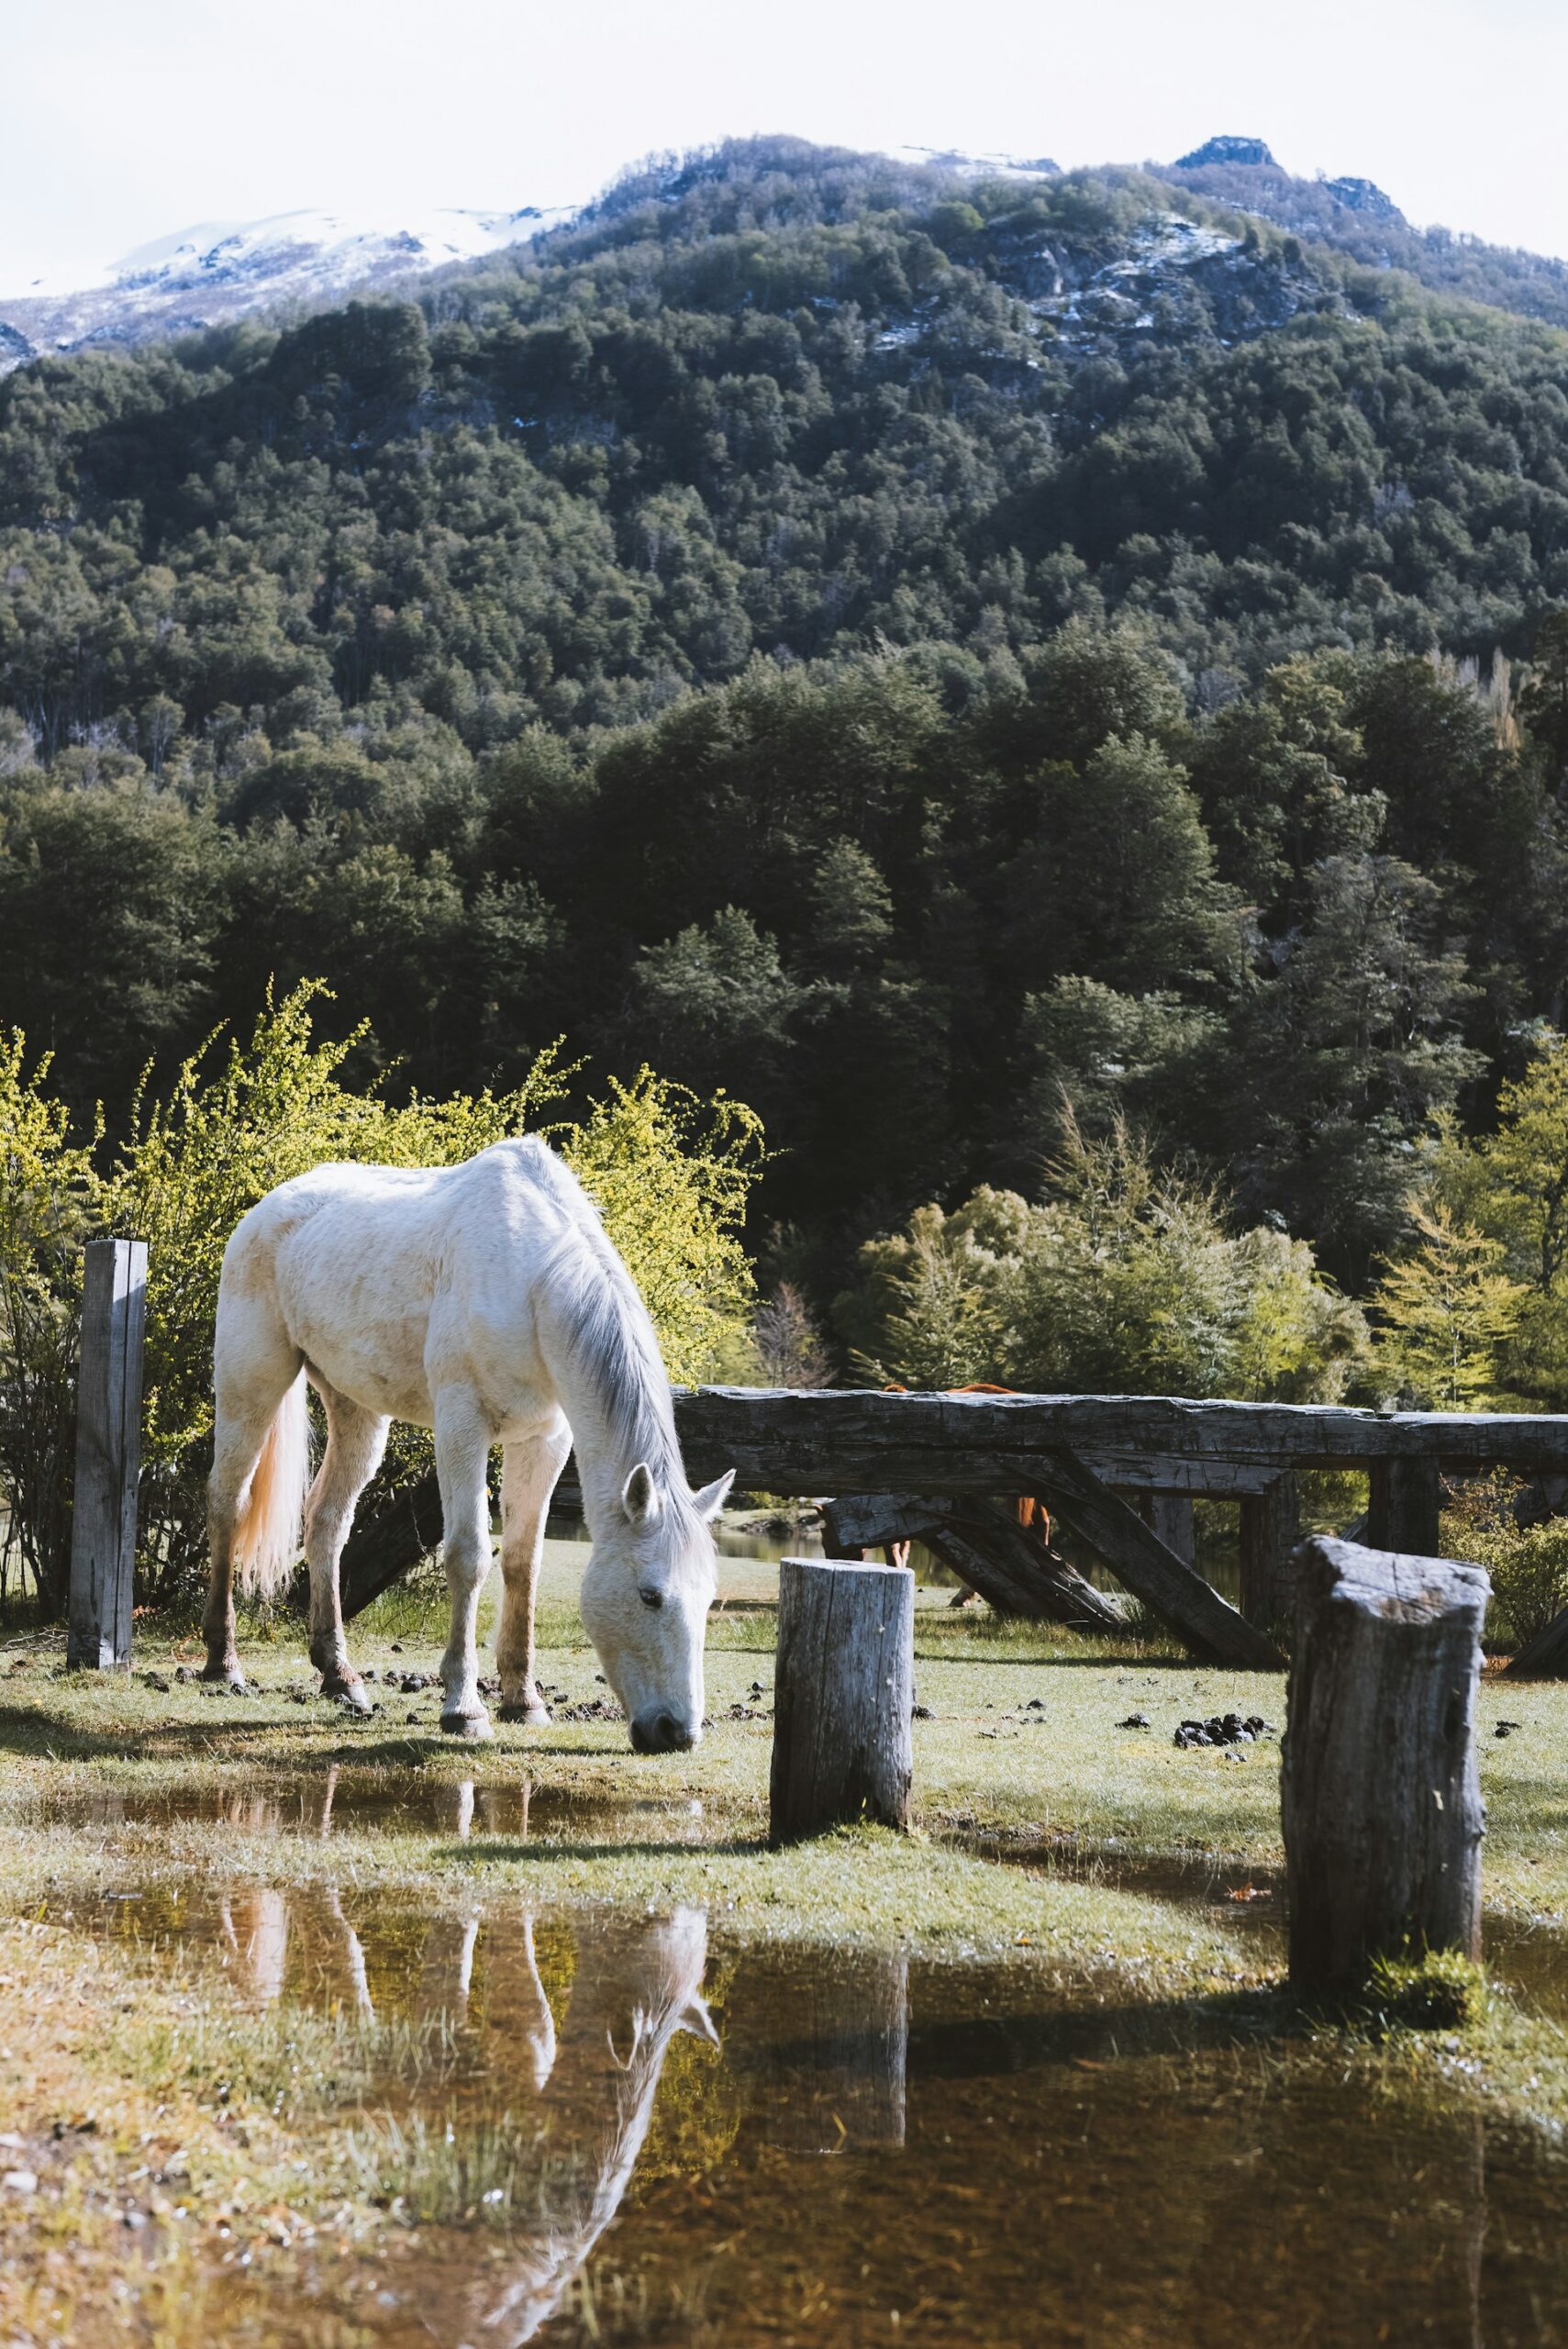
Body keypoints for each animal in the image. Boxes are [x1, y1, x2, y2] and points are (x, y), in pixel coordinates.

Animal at [200, 1137, 737, 1747]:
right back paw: (224, 1664)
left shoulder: (545, 1441)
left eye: (707, 1597)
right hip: (252, 1383)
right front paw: (464, 1708)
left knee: (327, 1522)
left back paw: (341, 1678)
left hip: (356, 1408)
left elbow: (523, 1564)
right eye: (650, 1595)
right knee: (228, 1501)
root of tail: (266, 1210)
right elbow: (470, 1555)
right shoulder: (463, 1426)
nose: (678, 1733)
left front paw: (523, 1701)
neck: (532, 1284)